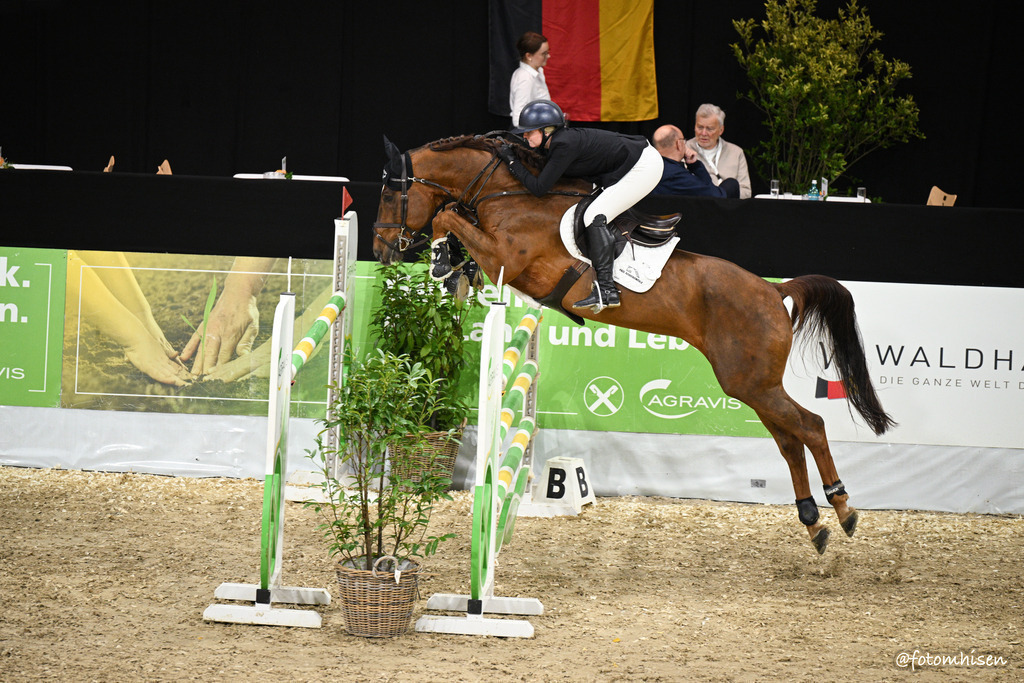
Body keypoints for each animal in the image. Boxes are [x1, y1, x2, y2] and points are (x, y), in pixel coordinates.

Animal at [372, 133, 895, 554]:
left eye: (390, 193)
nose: (382, 250)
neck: (509, 193)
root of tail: (775, 291)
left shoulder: (506, 255)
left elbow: (446, 215)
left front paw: (443, 259)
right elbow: (451, 220)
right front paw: (451, 270)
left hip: (752, 383)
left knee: (810, 427)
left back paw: (843, 510)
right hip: (753, 385)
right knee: (789, 440)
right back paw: (813, 522)